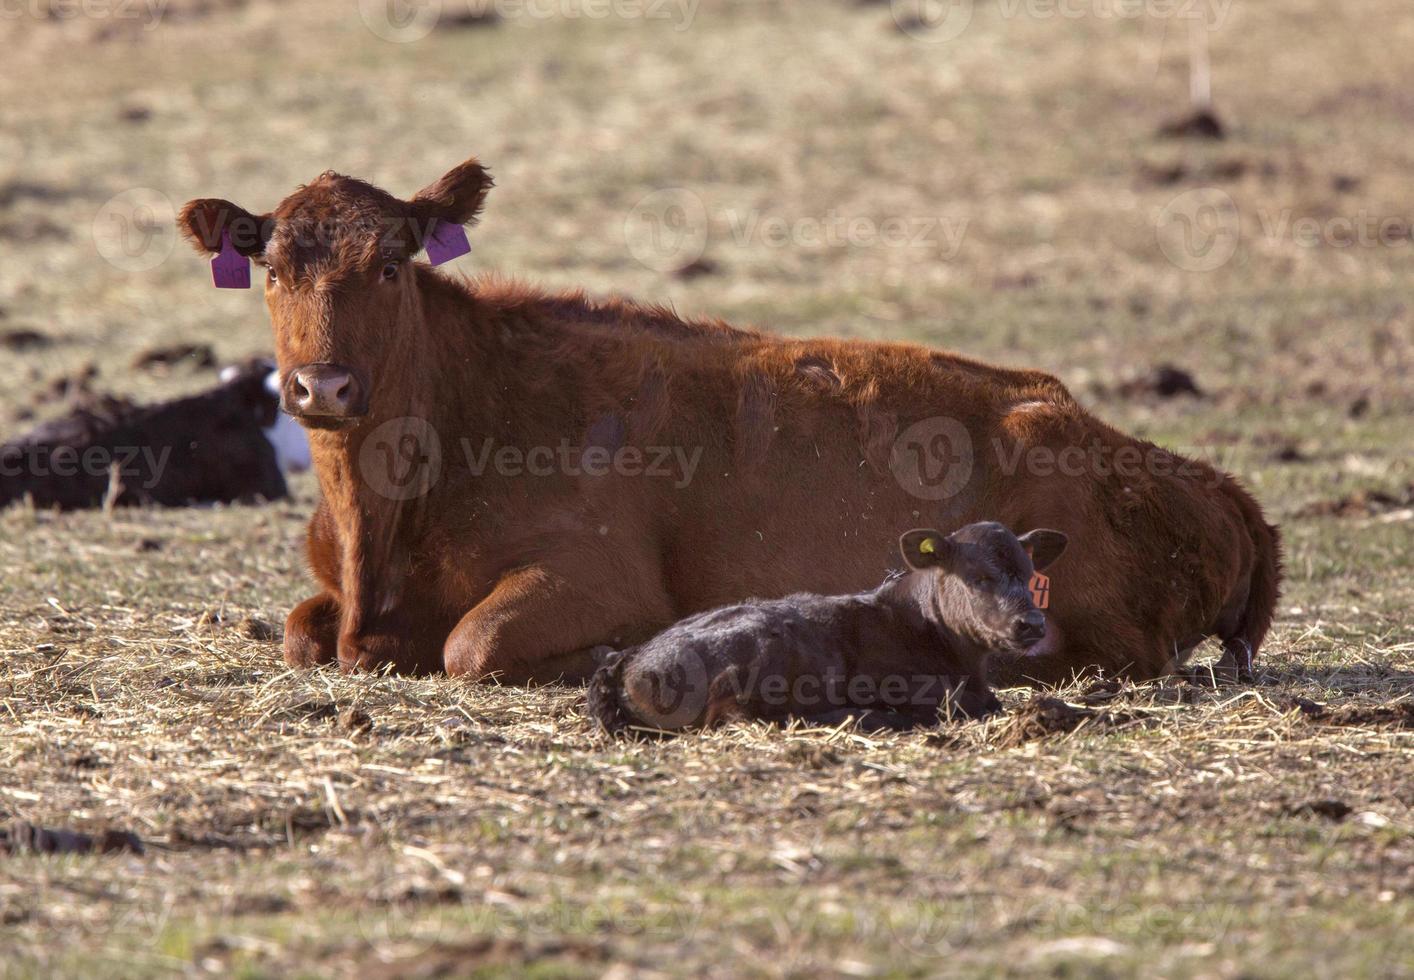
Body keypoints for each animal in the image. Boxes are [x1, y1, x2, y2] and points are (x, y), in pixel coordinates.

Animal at [176, 156, 1283, 684]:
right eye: (273, 269)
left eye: (390, 264)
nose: (322, 388)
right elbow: (301, 630)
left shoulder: (595, 570)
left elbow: (469, 646)